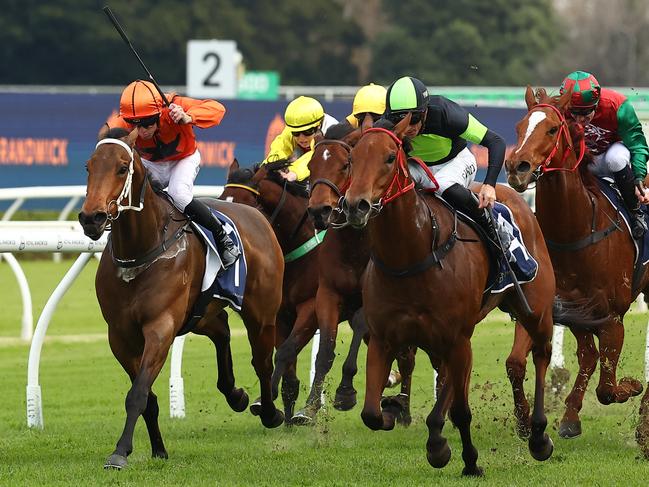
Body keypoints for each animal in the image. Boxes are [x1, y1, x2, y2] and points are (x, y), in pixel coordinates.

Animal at [79, 129, 286, 468]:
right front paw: (158, 449)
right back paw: (235, 394)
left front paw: (120, 451)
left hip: (262, 312)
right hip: (199, 313)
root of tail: (257, 215)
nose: (91, 218)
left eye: (122, 168)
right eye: (89, 166)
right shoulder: (120, 335)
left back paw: (270, 413)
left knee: (262, 361)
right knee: (222, 330)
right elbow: (146, 396)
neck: (140, 250)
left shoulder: (160, 327)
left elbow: (137, 393)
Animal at [342, 115, 556, 476]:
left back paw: (539, 435)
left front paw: (463, 458)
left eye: (390, 157)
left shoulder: (457, 338)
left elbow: (460, 410)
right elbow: (371, 413)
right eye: (351, 159)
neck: (411, 258)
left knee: (542, 353)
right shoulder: (385, 337)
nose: (356, 205)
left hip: (535, 309)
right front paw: (394, 409)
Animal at [506, 87, 648, 454]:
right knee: (587, 356)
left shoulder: (612, 319)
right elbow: (516, 364)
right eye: (519, 126)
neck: (575, 233)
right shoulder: (556, 309)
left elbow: (608, 388)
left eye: (553, 129)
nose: (516, 166)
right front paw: (527, 422)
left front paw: (632, 385)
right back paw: (571, 417)